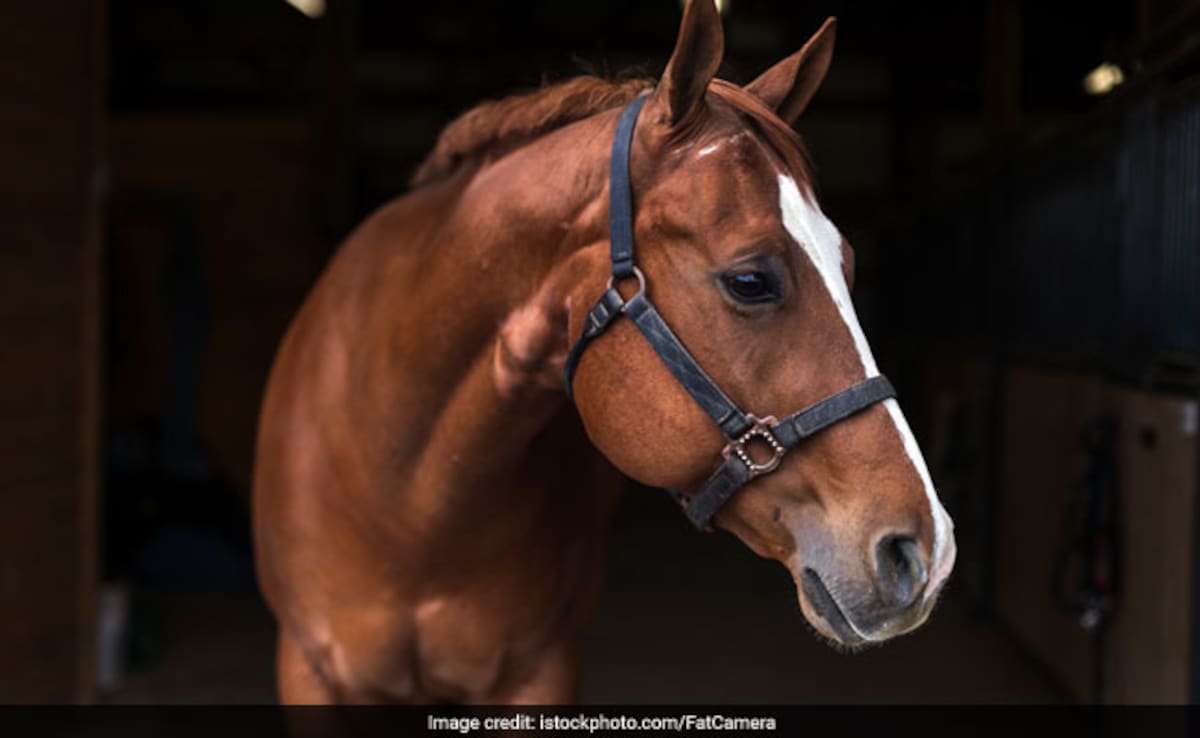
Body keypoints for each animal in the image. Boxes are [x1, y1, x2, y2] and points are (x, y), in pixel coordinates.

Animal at [253, 0, 956, 704]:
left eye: (849, 264)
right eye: (750, 280)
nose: (925, 551)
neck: (412, 505)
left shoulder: (540, 673)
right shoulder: (310, 674)